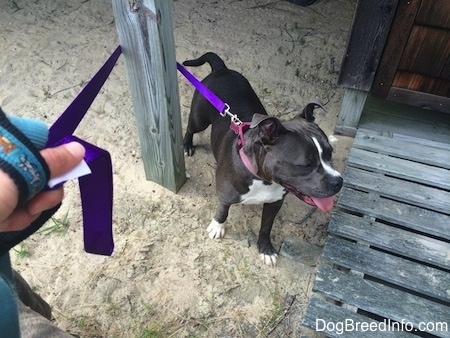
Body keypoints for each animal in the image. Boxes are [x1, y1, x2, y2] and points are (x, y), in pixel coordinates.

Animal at [181, 51, 342, 266]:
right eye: (306, 165)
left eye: (329, 153)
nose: (338, 182)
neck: (263, 179)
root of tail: (221, 69)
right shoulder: (225, 193)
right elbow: (223, 209)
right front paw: (217, 226)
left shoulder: (274, 203)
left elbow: (266, 227)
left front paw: (265, 249)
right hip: (199, 119)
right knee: (190, 128)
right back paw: (187, 145)